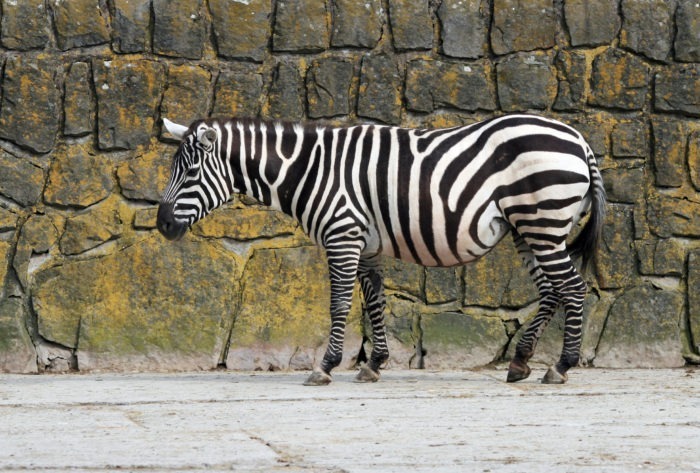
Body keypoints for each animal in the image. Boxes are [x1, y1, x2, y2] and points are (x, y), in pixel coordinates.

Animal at [159, 113, 608, 384]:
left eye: (191, 172)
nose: (162, 224)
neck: (309, 170)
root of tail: (579, 139)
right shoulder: (366, 245)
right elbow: (374, 302)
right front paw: (374, 364)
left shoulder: (341, 236)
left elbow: (340, 304)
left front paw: (325, 366)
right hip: (528, 230)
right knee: (552, 290)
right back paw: (521, 361)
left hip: (542, 223)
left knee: (572, 288)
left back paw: (561, 366)